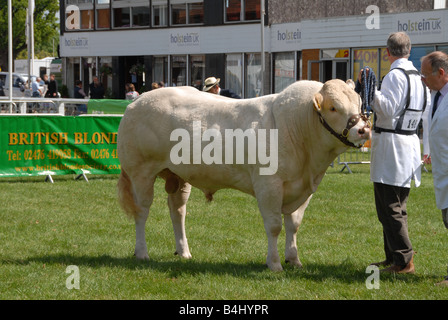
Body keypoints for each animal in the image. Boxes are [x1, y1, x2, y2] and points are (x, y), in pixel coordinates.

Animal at [116, 79, 372, 272]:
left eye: (358, 103)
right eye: (333, 107)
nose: (363, 130)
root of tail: (139, 100)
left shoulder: (304, 189)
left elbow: (294, 225)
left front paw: (294, 259)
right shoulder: (268, 185)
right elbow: (275, 226)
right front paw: (274, 263)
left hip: (179, 177)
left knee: (177, 211)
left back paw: (184, 251)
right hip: (141, 173)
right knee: (142, 212)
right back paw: (142, 252)